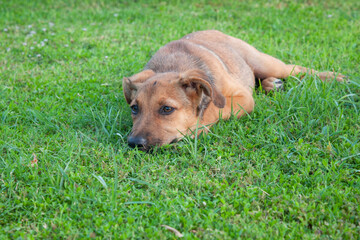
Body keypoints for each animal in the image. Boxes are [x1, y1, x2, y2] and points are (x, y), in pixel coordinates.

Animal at [124, 30, 346, 150]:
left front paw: (196, 127)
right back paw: (271, 84)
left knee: (295, 68)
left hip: (264, 62)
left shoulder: (243, 98)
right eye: (134, 108)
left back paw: (333, 77)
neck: (173, 66)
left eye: (167, 109)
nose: (134, 143)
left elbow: (215, 109)